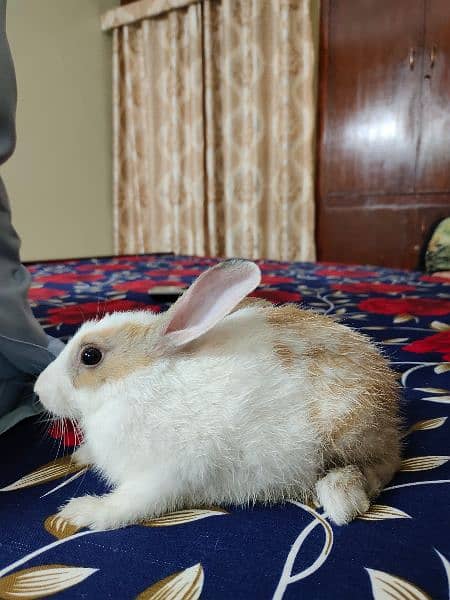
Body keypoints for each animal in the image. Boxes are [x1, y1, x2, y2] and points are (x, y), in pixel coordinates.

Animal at [34, 258, 400, 528]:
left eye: (89, 356)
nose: (38, 390)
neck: (136, 382)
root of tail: (391, 406)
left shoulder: (162, 477)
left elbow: (127, 506)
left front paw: (80, 511)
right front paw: (82, 456)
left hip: (347, 426)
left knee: (379, 467)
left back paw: (340, 498)